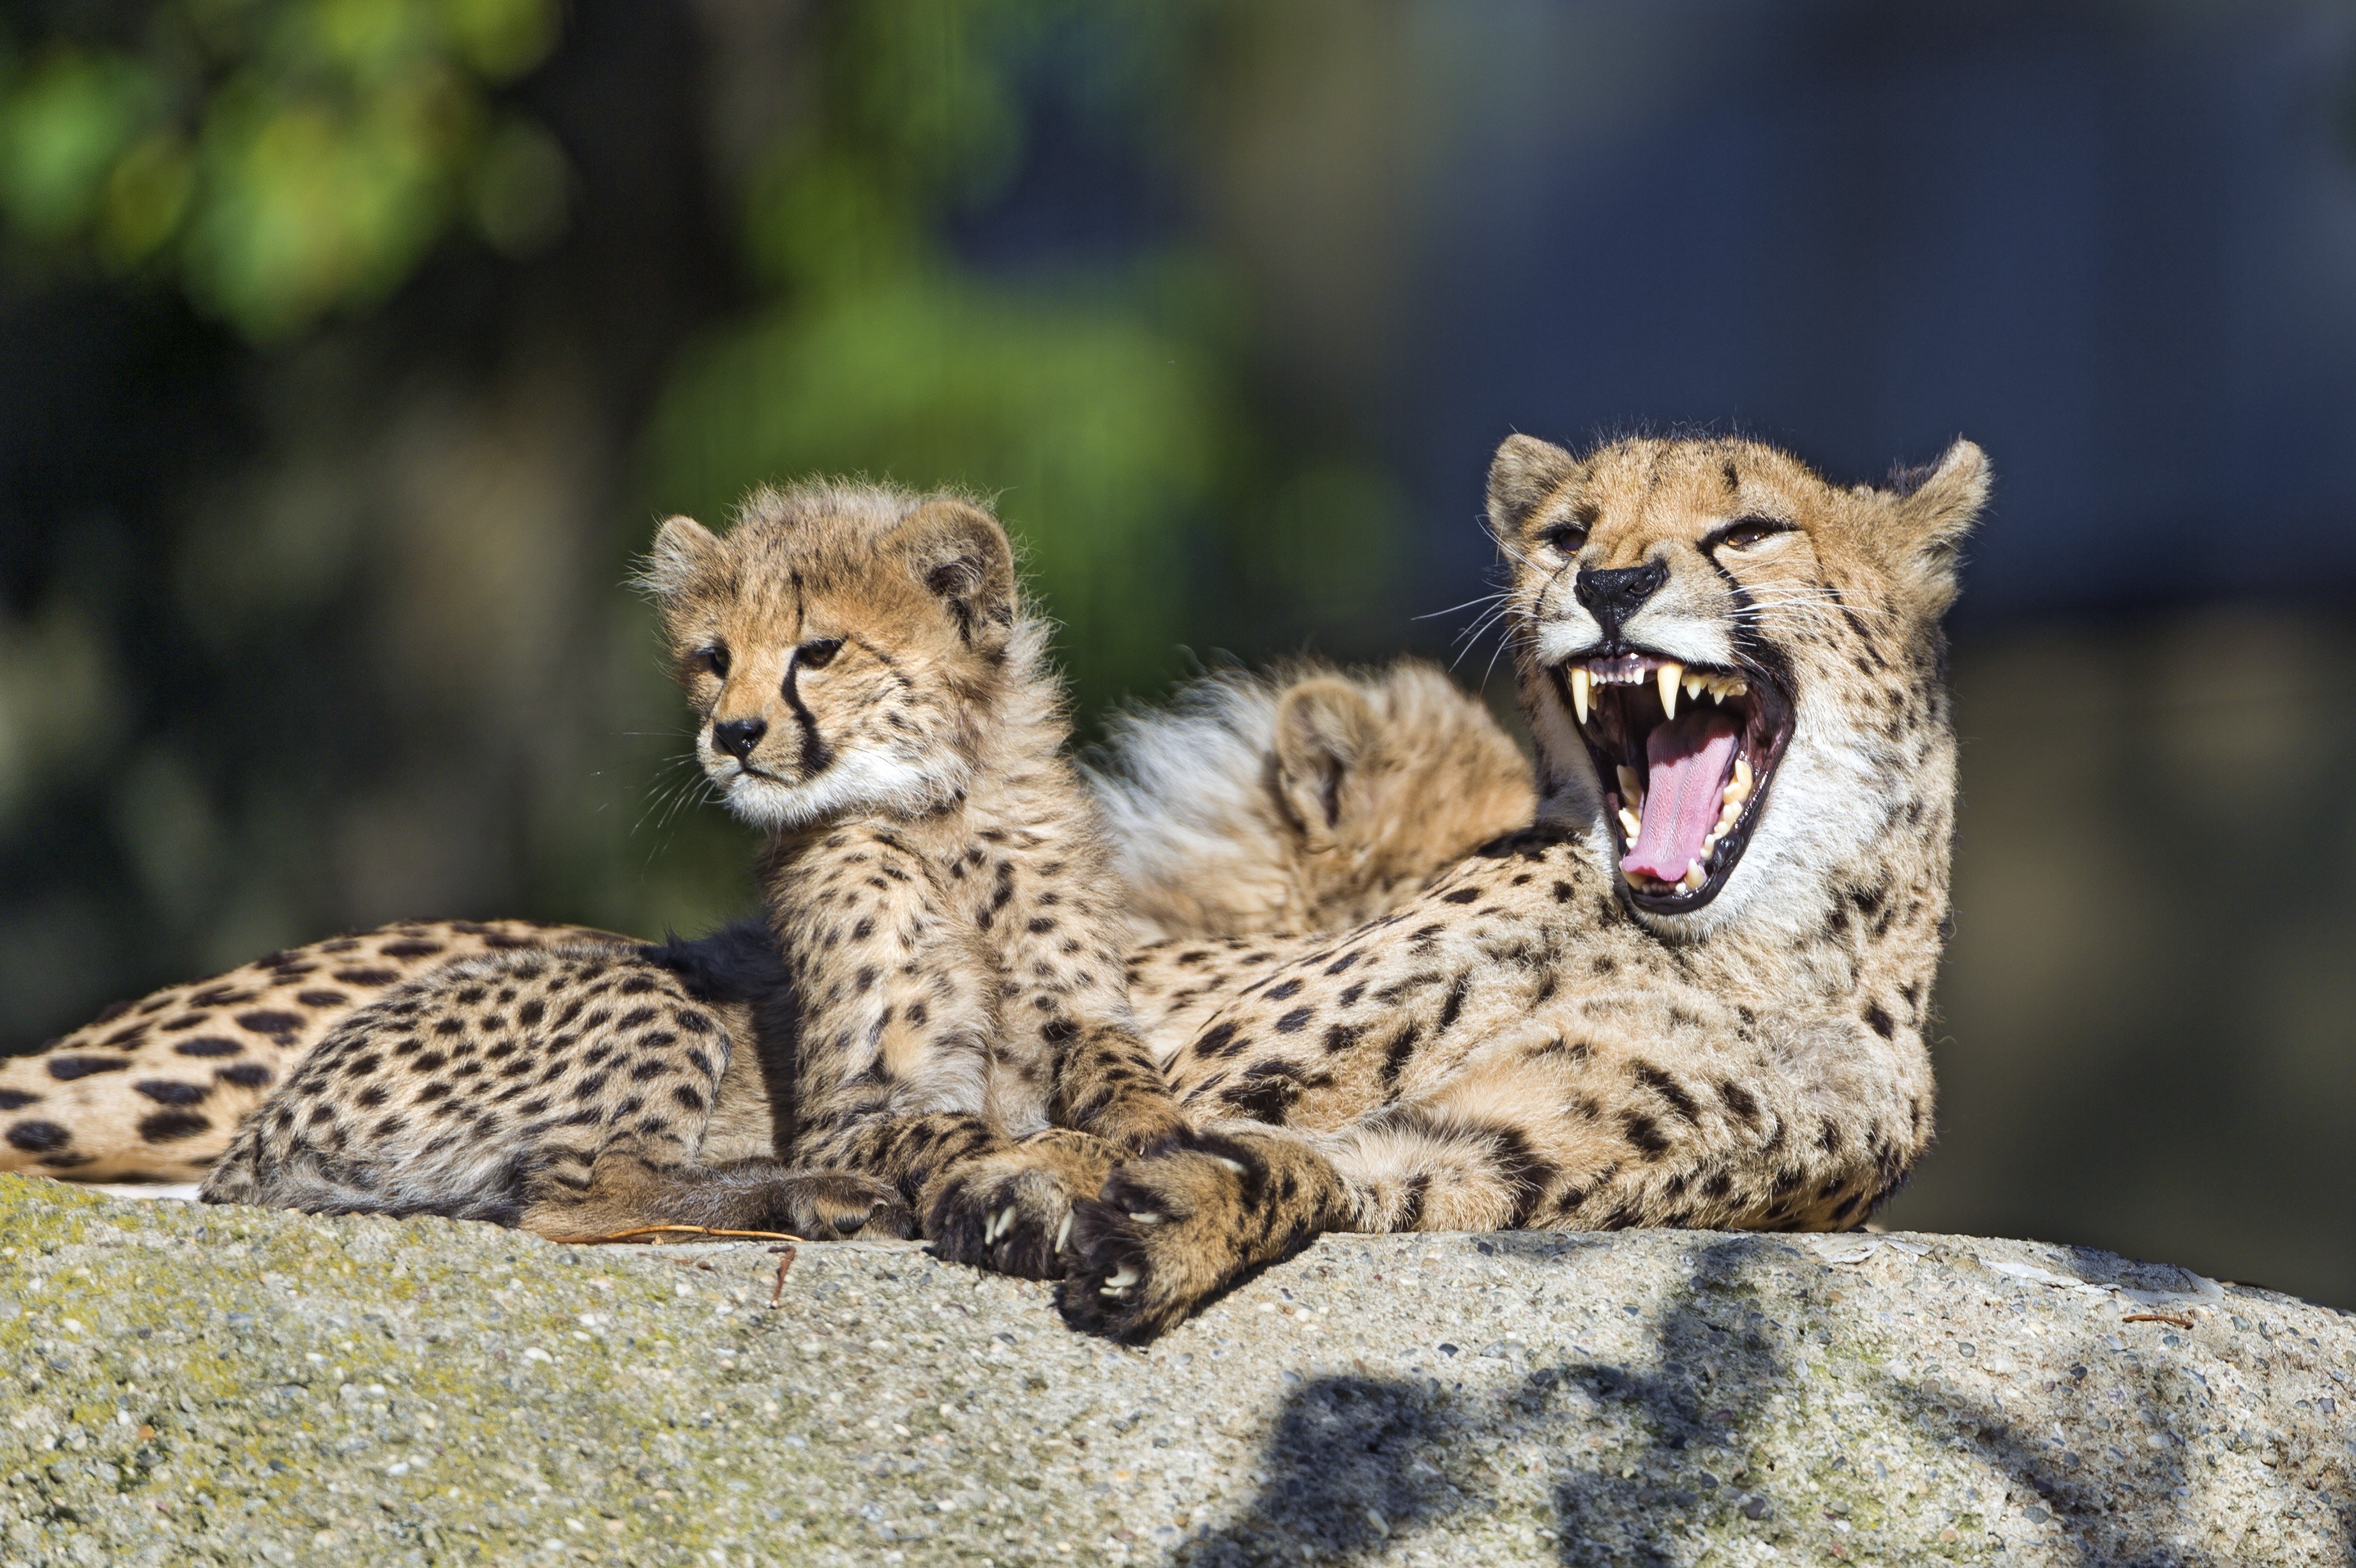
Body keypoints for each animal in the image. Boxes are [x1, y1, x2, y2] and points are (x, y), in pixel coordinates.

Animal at [202, 481, 1187, 1270]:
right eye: (715, 658)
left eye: (818, 651)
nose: (734, 734)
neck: (932, 818)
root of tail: (263, 1129)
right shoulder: (854, 1111)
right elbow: (960, 1125)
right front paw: (1021, 1175)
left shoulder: (1084, 1019)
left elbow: (1132, 1089)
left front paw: (1146, 1139)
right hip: (653, 994)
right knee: (572, 1200)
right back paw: (801, 1192)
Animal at [1054, 429, 1989, 1342]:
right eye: (1567, 536)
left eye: (1750, 531)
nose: (1611, 583)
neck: (1741, 946)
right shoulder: (1199, 1077)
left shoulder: (1493, 1147)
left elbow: (1324, 1168)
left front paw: (1173, 1221)